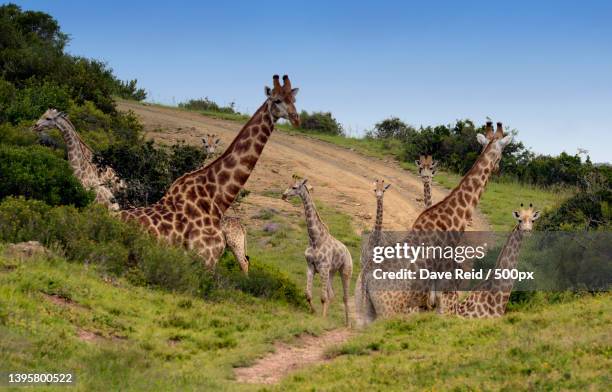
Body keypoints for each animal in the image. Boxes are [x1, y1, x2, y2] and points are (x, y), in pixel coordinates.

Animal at [280, 178, 352, 324]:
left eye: (295, 187)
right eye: (287, 185)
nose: (284, 195)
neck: (314, 239)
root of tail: (348, 252)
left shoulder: (323, 267)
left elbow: (323, 297)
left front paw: (322, 319)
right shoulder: (310, 267)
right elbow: (308, 294)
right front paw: (314, 312)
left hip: (345, 271)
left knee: (345, 297)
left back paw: (348, 324)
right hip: (332, 272)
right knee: (332, 294)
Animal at [358, 121, 516, 324]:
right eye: (502, 152)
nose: (497, 168)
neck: (452, 223)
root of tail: (366, 280)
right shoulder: (447, 298)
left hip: (369, 312)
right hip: (390, 311)